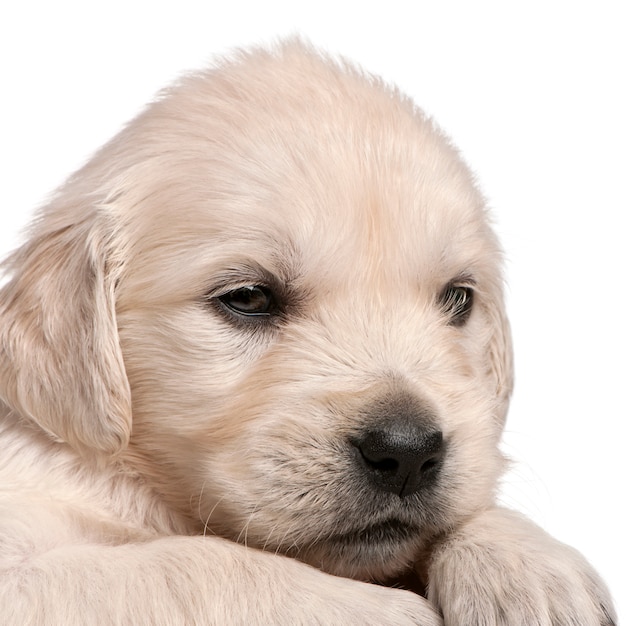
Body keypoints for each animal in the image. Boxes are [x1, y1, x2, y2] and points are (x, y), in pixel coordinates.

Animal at [0, 41, 616, 620]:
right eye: (248, 298)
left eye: (458, 299)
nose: (407, 452)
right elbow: (193, 564)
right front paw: (384, 613)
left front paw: (526, 565)